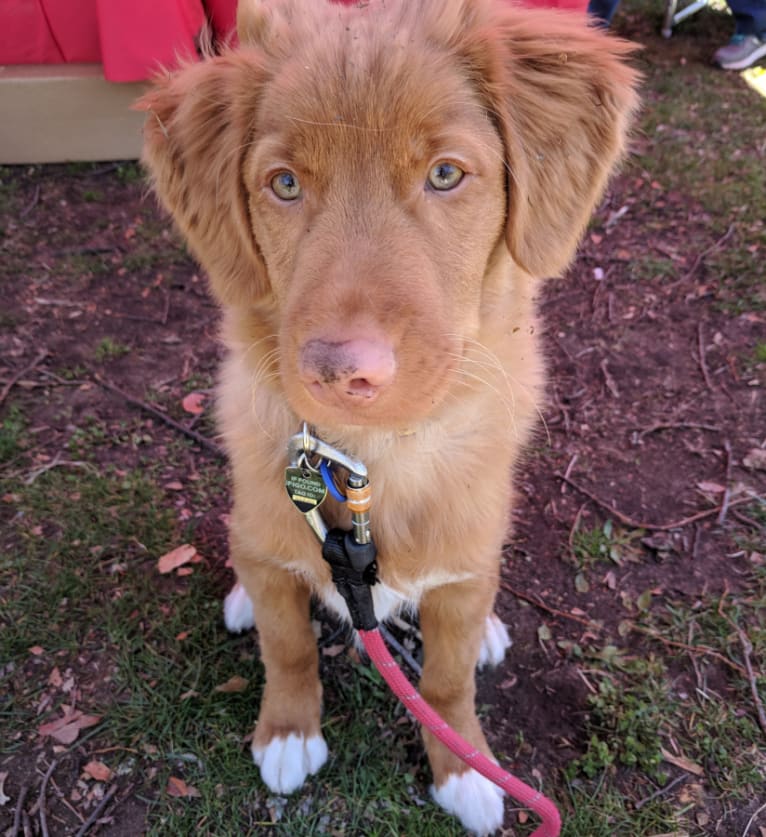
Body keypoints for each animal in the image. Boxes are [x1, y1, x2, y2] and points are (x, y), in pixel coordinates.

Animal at [140, 3, 640, 832]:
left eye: (445, 173)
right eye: (283, 184)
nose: (344, 371)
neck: (376, 458)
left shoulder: (461, 570)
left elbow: (446, 682)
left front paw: (466, 767)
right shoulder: (278, 542)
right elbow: (287, 645)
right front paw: (287, 729)